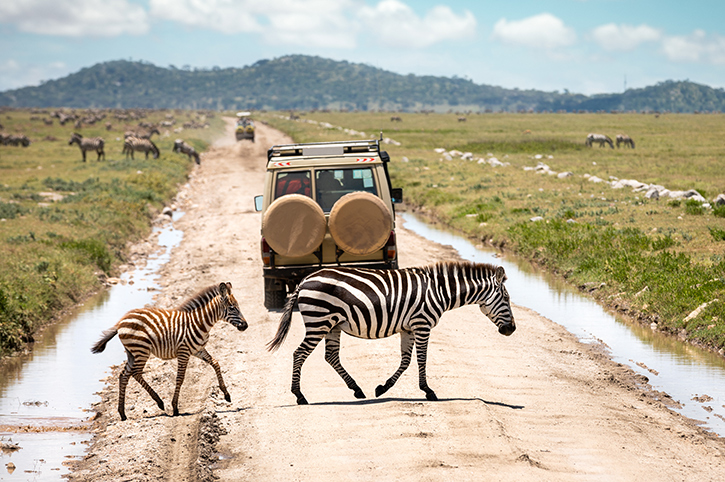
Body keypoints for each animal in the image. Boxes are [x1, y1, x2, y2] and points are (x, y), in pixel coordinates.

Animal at [90, 280, 249, 420]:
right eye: (232, 308)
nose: (245, 326)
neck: (200, 323)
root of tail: (121, 321)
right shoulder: (184, 352)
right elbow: (180, 378)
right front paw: (175, 407)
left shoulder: (198, 350)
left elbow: (216, 363)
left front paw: (226, 394)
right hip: (142, 350)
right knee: (135, 373)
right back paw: (159, 402)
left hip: (132, 353)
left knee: (124, 375)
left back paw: (123, 413)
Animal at [268, 262, 516, 404]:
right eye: (506, 298)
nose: (511, 329)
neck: (439, 291)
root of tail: (304, 280)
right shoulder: (422, 324)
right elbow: (422, 359)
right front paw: (429, 391)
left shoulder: (408, 328)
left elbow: (405, 360)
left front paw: (382, 388)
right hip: (319, 321)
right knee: (299, 354)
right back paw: (300, 396)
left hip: (332, 325)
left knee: (330, 356)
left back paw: (357, 390)